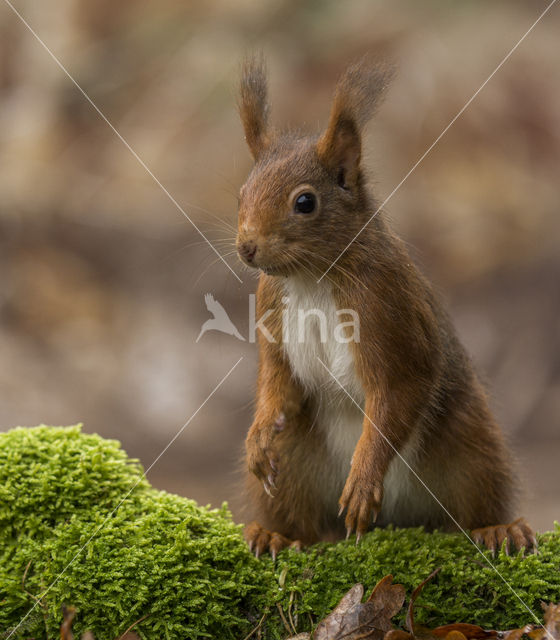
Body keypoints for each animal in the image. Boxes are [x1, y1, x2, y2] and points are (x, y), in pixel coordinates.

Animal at [234, 58, 536, 560]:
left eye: (305, 202)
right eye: (240, 193)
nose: (247, 248)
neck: (313, 278)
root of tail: (398, 519)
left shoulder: (386, 308)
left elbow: (398, 393)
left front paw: (362, 481)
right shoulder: (272, 308)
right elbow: (278, 384)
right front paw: (257, 438)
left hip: (471, 447)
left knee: (472, 504)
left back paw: (497, 529)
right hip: (297, 459)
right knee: (304, 520)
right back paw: (278, 534)